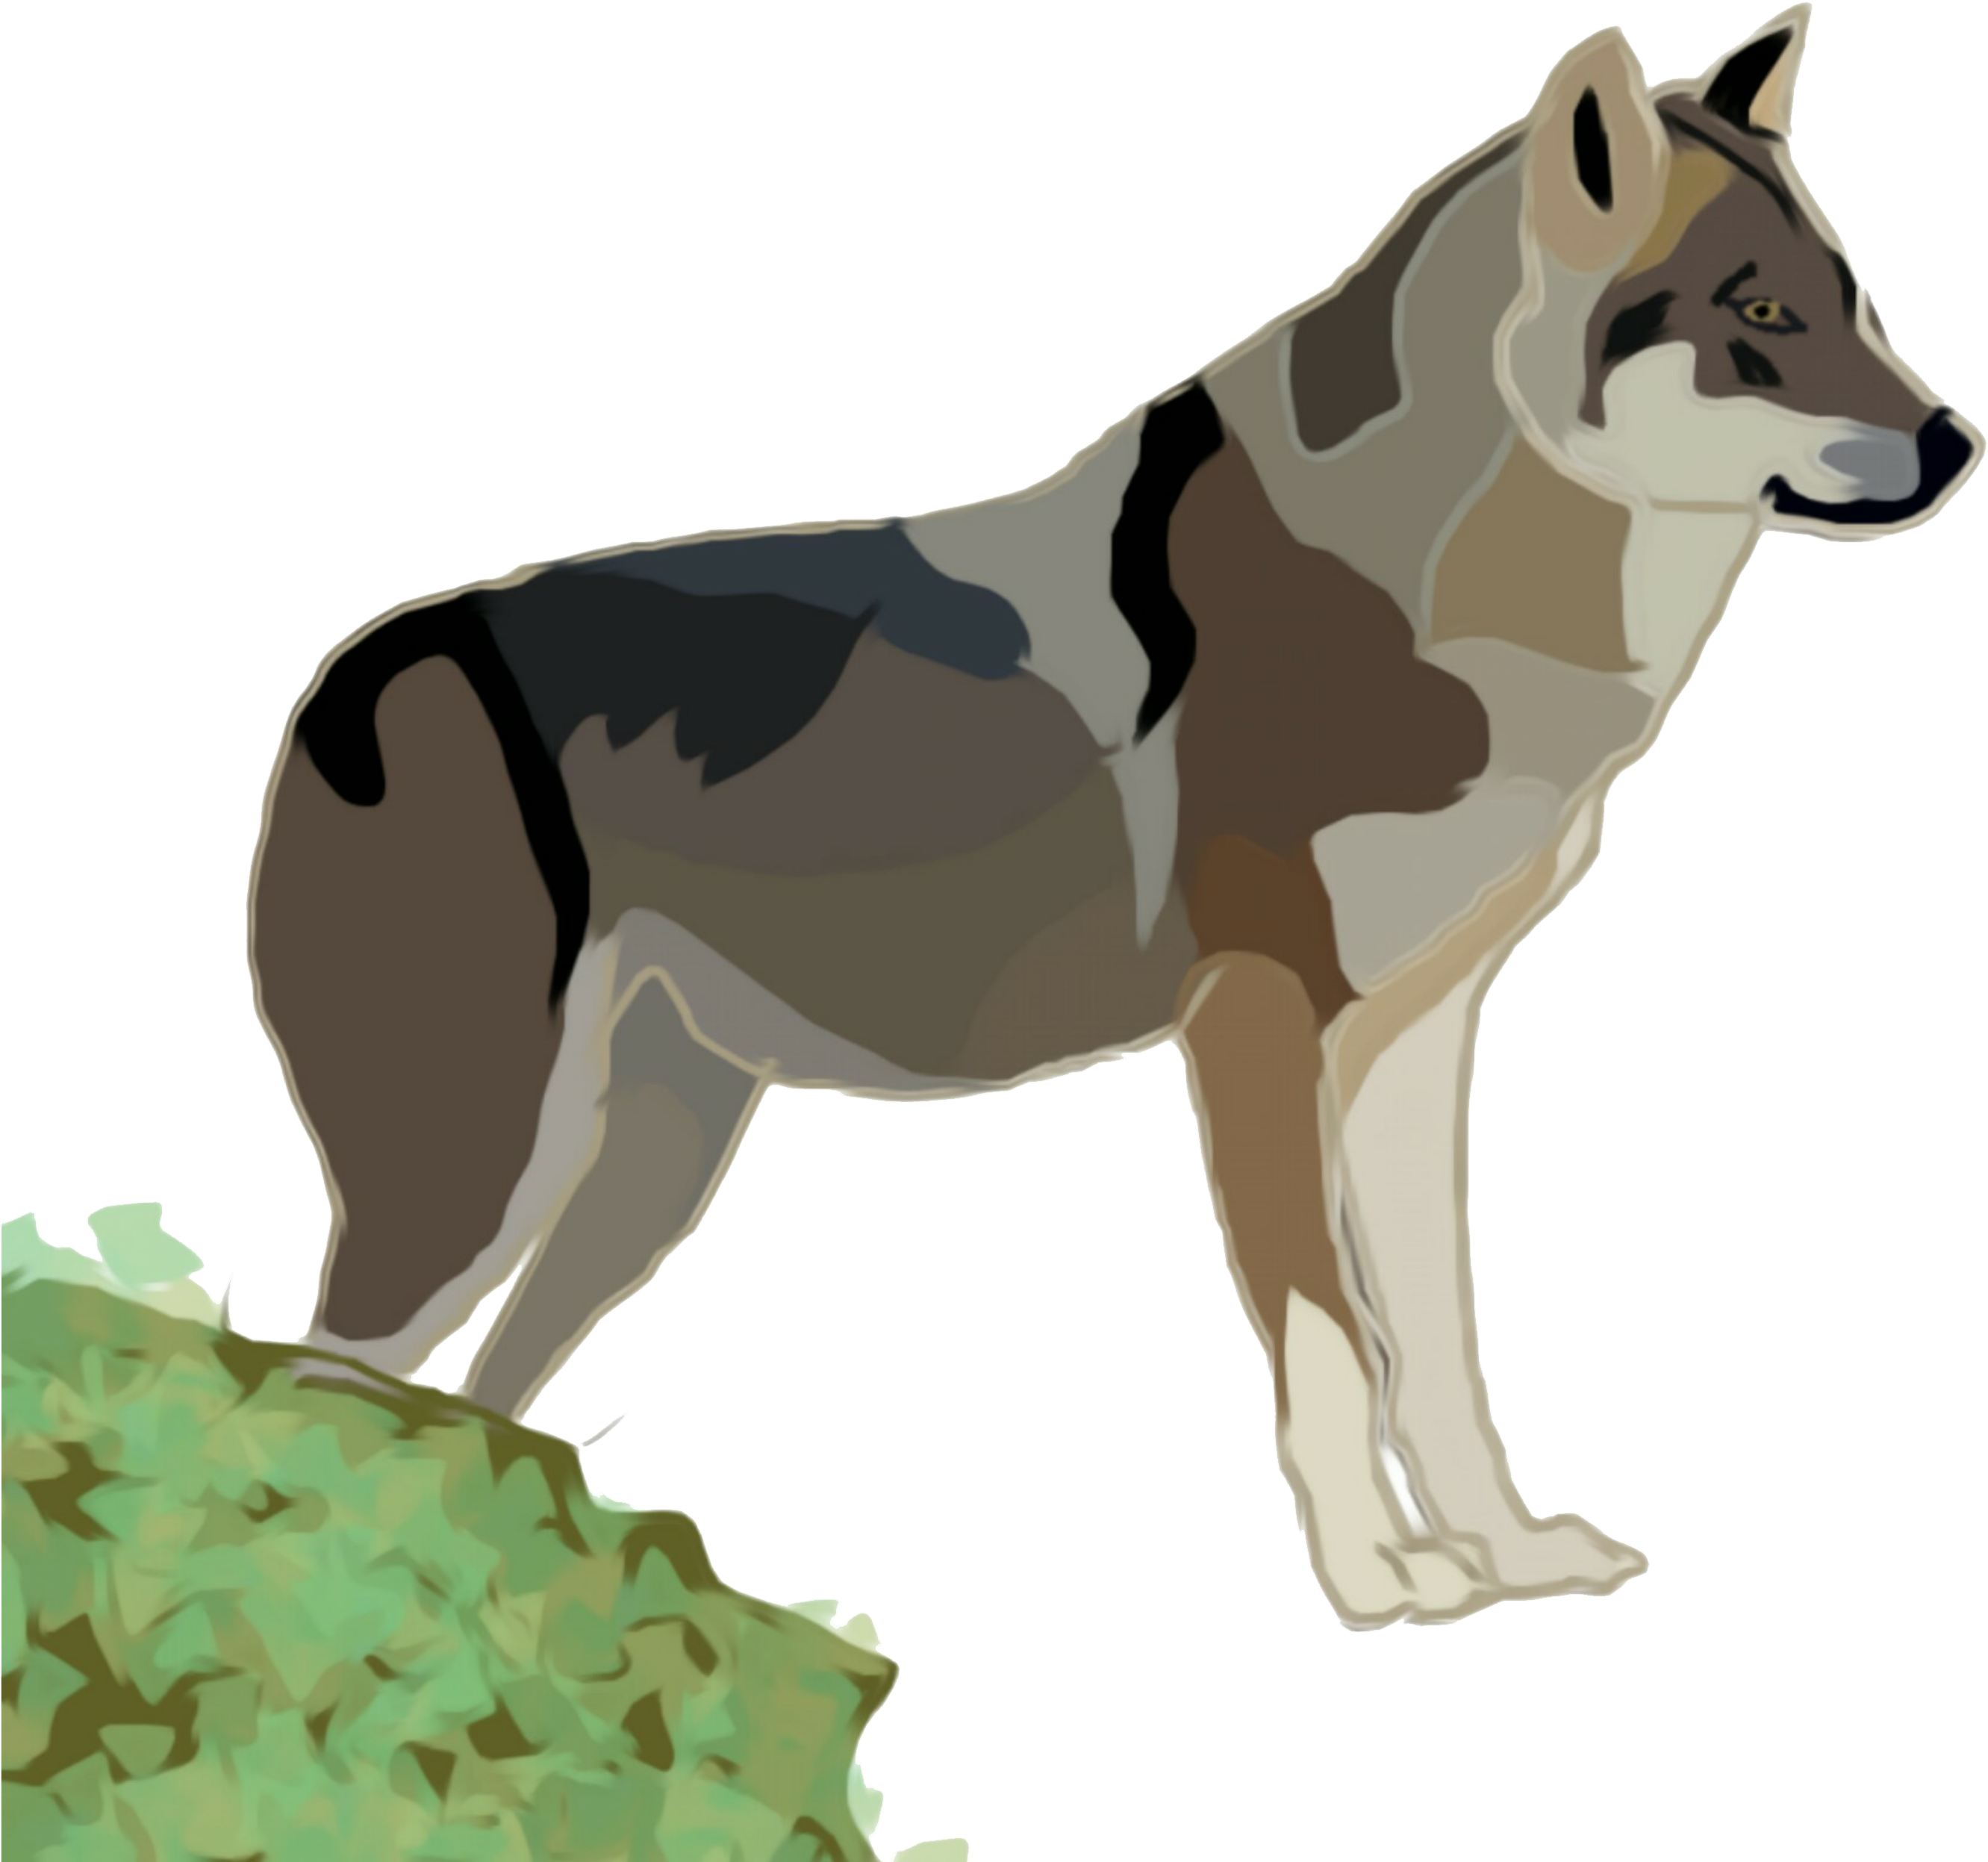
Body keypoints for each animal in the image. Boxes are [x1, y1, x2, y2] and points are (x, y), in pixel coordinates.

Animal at [247, 8, 1977, 1629]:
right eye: (1757, 313)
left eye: (1851, 298)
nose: (1958, 443)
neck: (1456, 599)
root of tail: (353, 668)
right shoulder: (1255, 1022)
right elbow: (1326, 1336)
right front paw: (1381, 1577)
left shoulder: (1415, 1040)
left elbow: (1438, 1340)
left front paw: (1500, 1554)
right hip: (476, 1173)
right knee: (316, 1388)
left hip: (643, 1176)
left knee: (475, 1400)